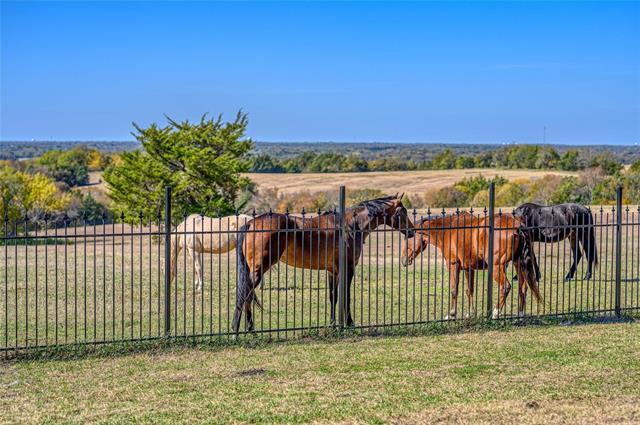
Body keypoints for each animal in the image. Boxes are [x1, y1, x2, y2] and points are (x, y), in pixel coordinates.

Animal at [231, 194, 416, 332]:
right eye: (402, 212)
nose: (412, 232)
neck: (350, 226)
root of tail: (251, 223)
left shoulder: (333, 272)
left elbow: (333, 297)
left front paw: (333, 323)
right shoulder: (348, 269)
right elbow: (346, 296)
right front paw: (349, 323)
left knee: (246, 296)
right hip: (258, 270)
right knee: (245, 295)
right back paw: (240, 329)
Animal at [402, 212, 544, 318]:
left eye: (408, 238)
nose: (403, 260)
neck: (449, 230)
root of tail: (517, 225)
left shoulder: (453, 265)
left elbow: (454, 290)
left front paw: (451, 314)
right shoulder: (468, 269)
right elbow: (469, 290)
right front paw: (470, 313)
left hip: (498, 267)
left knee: (505, 287)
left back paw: (496, 312)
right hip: (518, 264)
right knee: (524, 287)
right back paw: (521, 313)